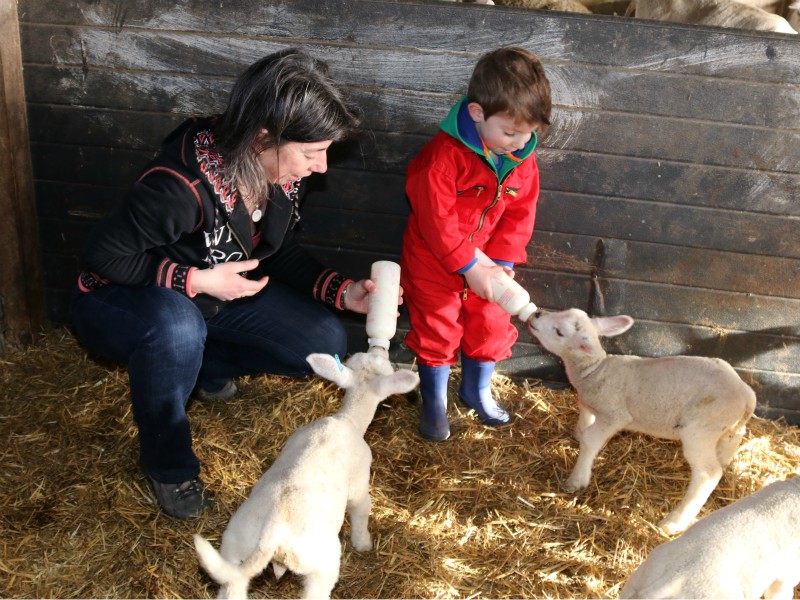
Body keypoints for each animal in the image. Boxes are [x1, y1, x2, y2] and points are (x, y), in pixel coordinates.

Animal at [194, 346, 418, 600]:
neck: (348, 418)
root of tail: (273, 529)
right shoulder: (359, 486)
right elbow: (361, 512)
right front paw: (363, 543)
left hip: (235, 547)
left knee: (232, 586)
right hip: (321, 564)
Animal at [524, 310, 756, 536]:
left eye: (559, 332)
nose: (536, 314)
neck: (595, 370)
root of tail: (745, 392)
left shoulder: (614, 414)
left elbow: (590, 439)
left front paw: (577, 480)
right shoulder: (588, 405)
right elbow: (583, 424)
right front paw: (577, 436)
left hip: (700, 429)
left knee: (708, 473)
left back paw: (674, 522)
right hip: (726, 426)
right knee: (735, 437)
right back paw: (724, 461)